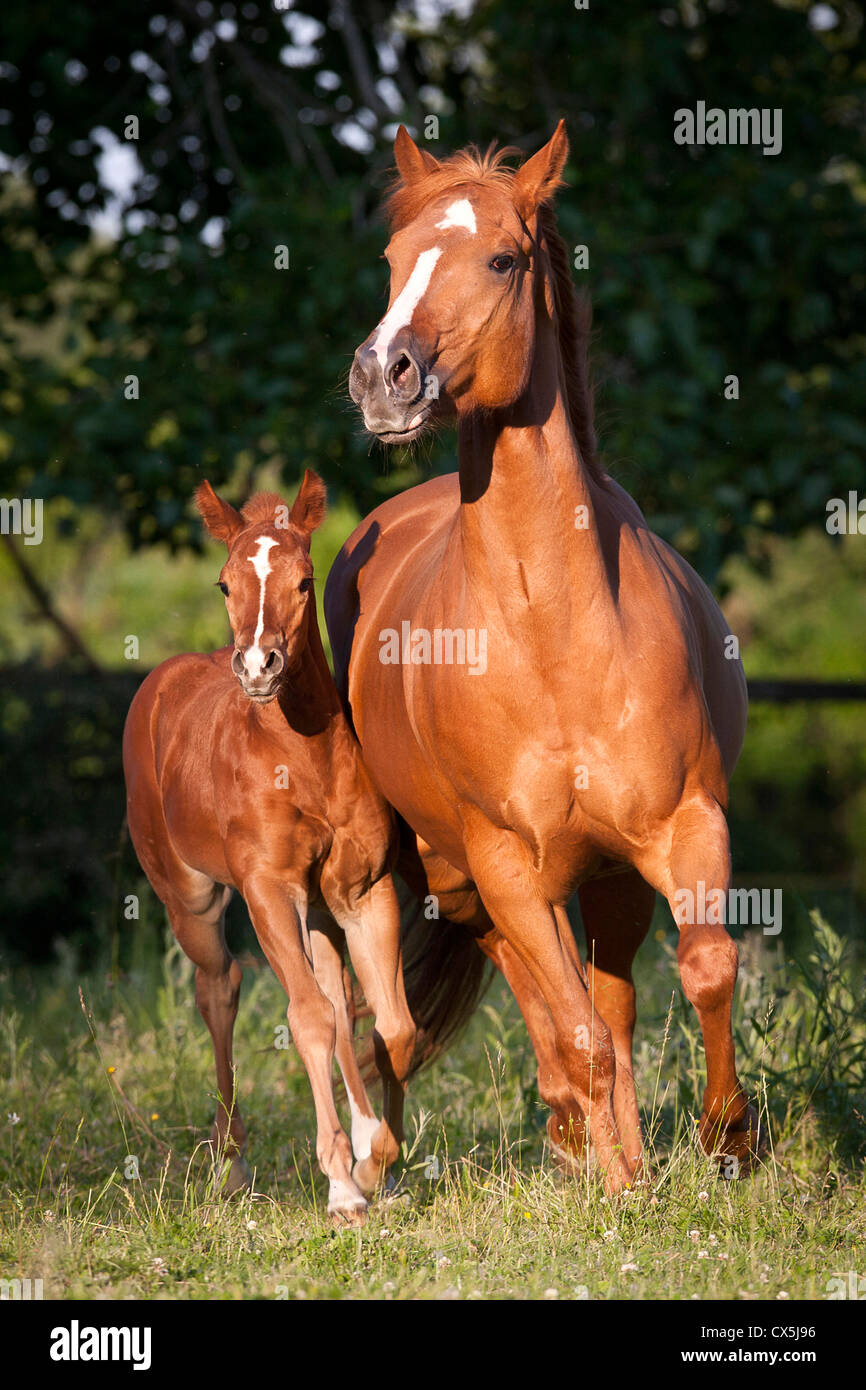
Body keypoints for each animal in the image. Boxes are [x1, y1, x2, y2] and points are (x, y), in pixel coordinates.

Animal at [122, 471, 416, 1223]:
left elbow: (388, 1025)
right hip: (189, 898)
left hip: (317, 911)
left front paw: (377, 1159)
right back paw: (231, 1166)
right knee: (219, 987)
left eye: (305, 580)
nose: (259, 666)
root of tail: (161, 680)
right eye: (224, 583)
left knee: (339, 997)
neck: (302, 762)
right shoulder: (266, 891)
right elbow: (306, 1017)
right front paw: (342, 1186)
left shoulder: (360, 890)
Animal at [325, 122, 764, 1193]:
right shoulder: (508, 863)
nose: (383, 375)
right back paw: (579, 1143)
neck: (556, 638)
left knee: (612, 1000)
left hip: (604, 879)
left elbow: (704, 972)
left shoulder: (684, 825)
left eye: (501, 259)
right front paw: (614, 1186)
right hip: (465, 874)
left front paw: (726, 1139)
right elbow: (575, 1032)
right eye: (393, 260)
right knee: (550, 1006)